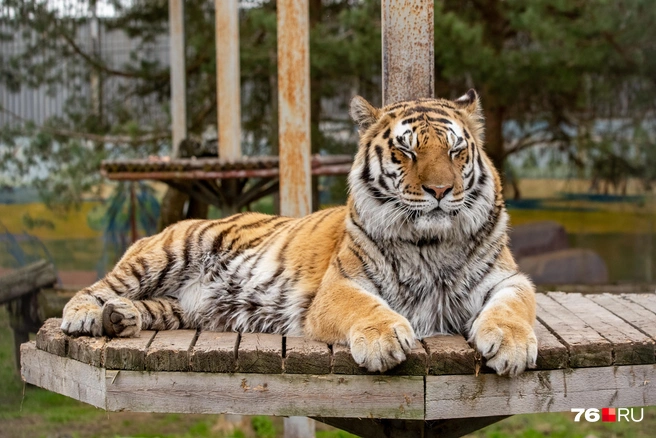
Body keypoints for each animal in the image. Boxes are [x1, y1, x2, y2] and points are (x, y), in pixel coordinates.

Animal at [61, 89, 538, 376]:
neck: (431, 244)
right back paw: (85, 315)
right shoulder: (341, 284)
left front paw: (511, 345)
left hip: (181, 308)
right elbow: (367, 307)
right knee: (100, 287)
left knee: (146, 305)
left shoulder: (508, 279)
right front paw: (385, 340)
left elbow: (513, 307)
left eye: (456, 151)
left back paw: (120, 317)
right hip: (166, 251)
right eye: (406, 151)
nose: (440, 190)